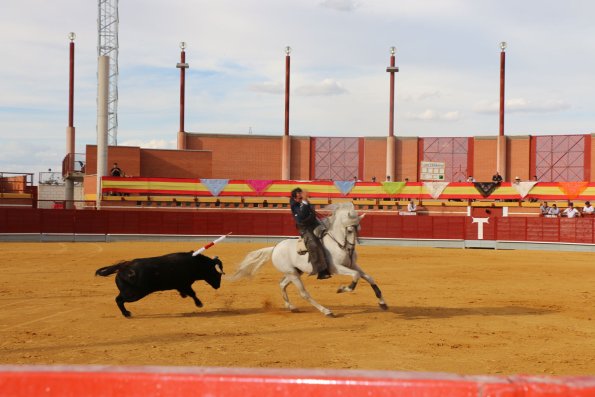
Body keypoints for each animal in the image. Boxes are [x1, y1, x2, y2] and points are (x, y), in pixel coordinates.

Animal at [95, 252, 224, 318]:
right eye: (216, 273)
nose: (218, 286)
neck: (196, 263)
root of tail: (122, 266)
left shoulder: (181, 285)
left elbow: (188, 293)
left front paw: (184, 296)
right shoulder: (184, 284)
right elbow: (193, 293)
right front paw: (199, 304)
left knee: (119, 299)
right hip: (133, 294)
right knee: (119, 300)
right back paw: (126, 314)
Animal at [229, 203, 392, 318]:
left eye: (360, 228)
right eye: (350, 230)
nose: (351, 248)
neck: (337, 242)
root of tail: (275, 248)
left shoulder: (353, 265)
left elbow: (369, 277)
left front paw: (383, 303)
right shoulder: (336, 267)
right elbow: (356, 276)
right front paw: (342, 289)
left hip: (295, 272)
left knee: (282, 284)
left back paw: (292, 307)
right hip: (293, 274)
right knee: (303, 293)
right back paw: (327, 311)